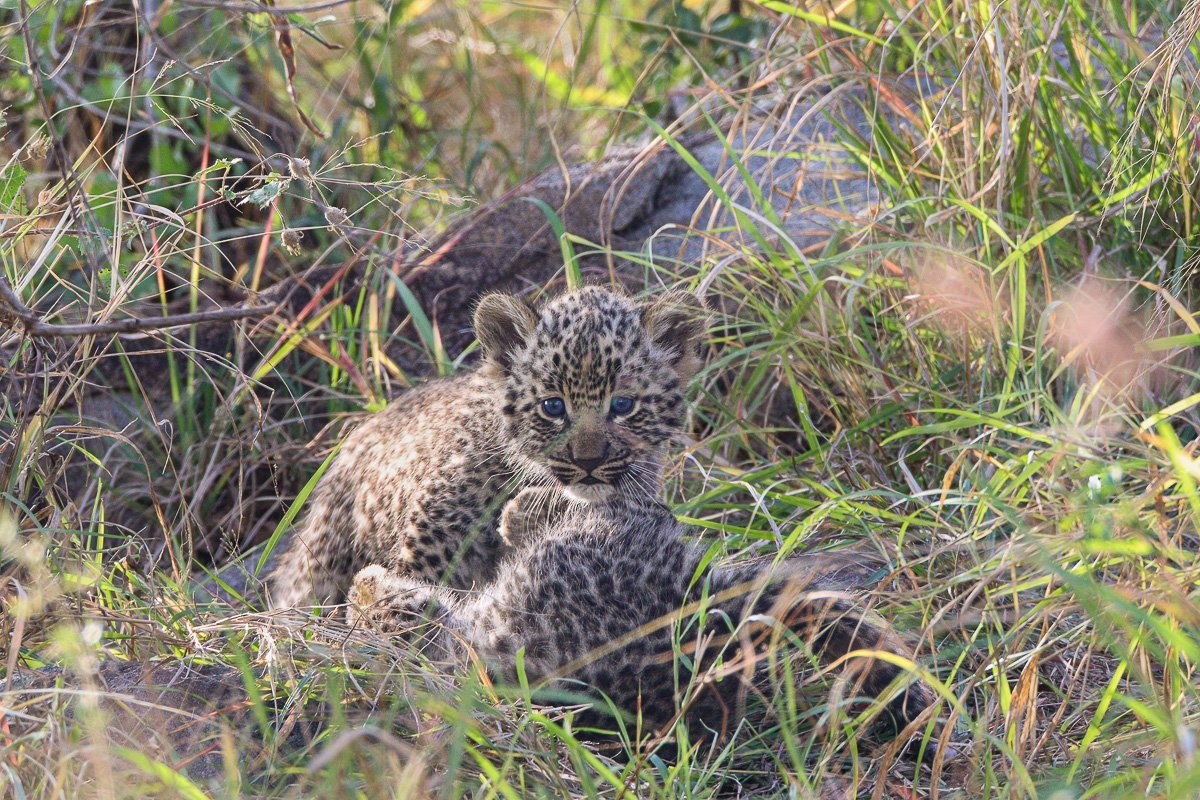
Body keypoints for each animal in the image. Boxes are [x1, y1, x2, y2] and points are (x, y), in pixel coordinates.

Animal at [346, 486, 936, 750]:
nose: (359, 581)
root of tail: (703, 600)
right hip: (579, 560)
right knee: (620, 513)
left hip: (569, 554)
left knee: (616, 507)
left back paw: (522, 508)